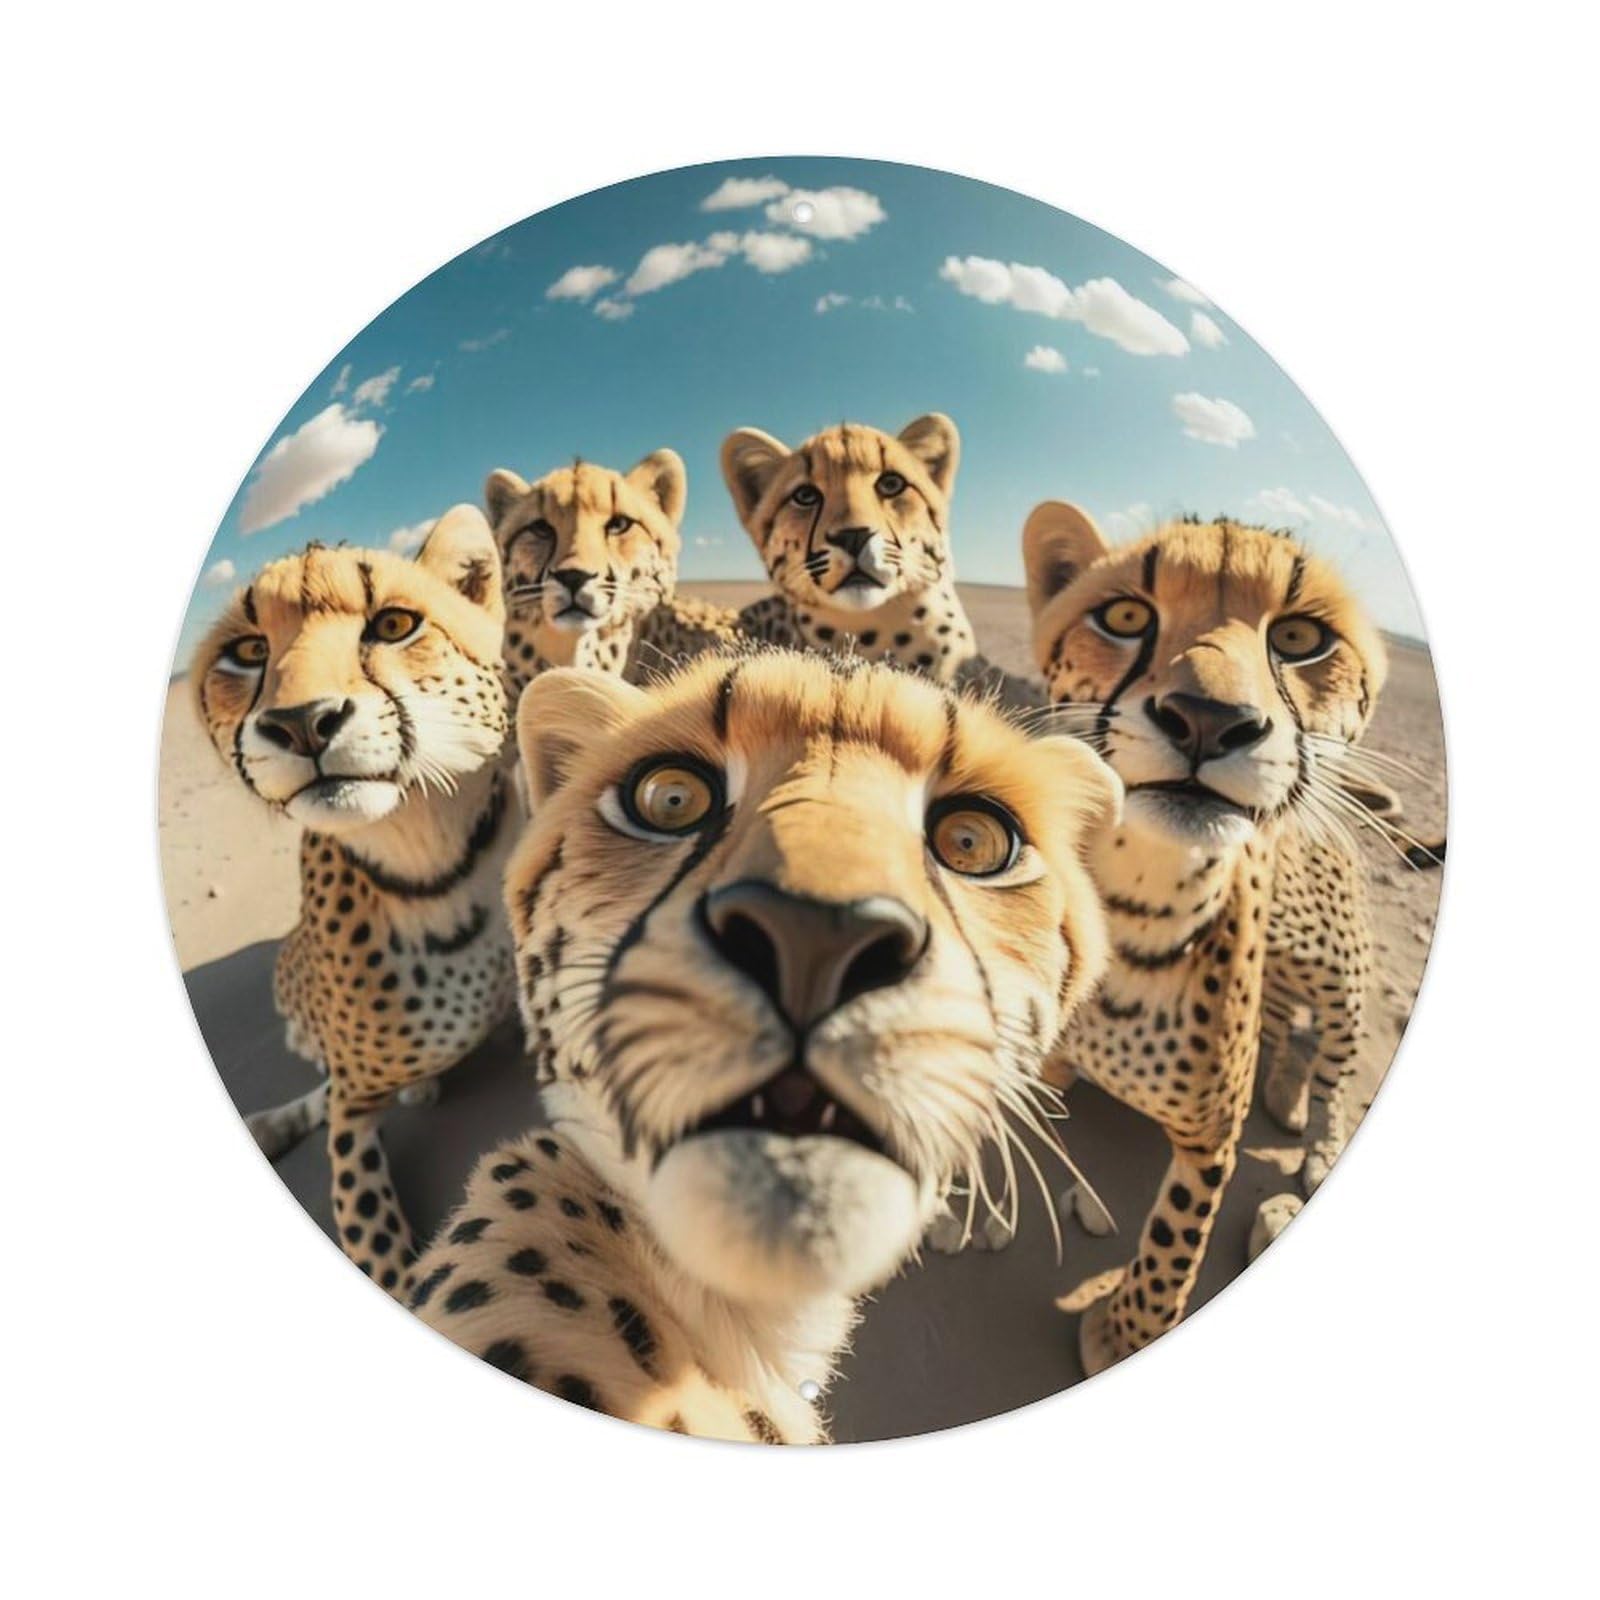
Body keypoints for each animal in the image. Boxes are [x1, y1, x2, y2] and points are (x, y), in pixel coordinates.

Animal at [191, 508, 518, 1292]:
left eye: (395, 624)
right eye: (248, 651)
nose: (303, 722)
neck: (434, 870)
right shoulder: (350, 1112)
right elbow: (380, 1251)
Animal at [1023, 503, 1404, 1376]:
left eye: (1299, 638)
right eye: (1126, 617)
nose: (1208, 720)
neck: (1137, 897)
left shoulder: (1210, 1140)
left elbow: (1178, 1238)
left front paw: (1126, 1333)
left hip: (1338, 974)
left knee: (1338, 1064)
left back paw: (1316, 1140)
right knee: (1285, 1028)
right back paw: (1285, 1088)